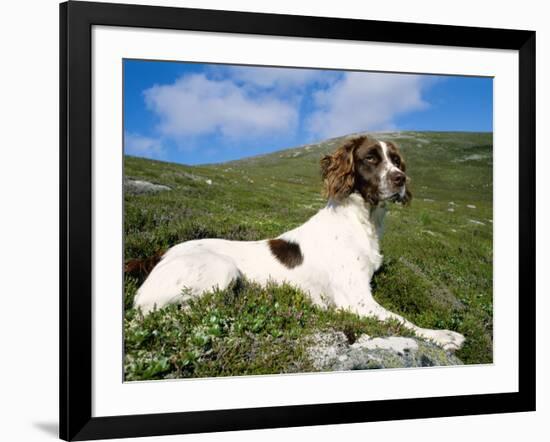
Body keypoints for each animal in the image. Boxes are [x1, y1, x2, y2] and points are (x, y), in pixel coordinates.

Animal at [133, 136, 466, 350]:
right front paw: (444, 336)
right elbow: (401, 319)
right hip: (221, 269)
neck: (361, 221)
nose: (400, 179)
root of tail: (159, 255)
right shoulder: (355, 299)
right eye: (371, 158)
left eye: (396, 160)